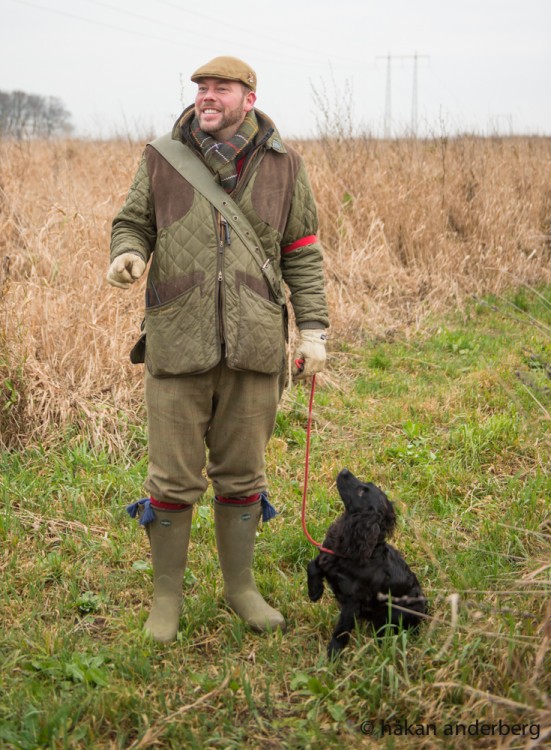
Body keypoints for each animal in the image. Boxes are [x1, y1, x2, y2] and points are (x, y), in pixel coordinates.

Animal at [308, 470, 430, 656]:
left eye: (361, 492)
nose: (344, 470)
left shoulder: (352, 602)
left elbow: (341, 630)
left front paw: (333, 653)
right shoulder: (327, 557)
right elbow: (312, 565)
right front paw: (314, 592)